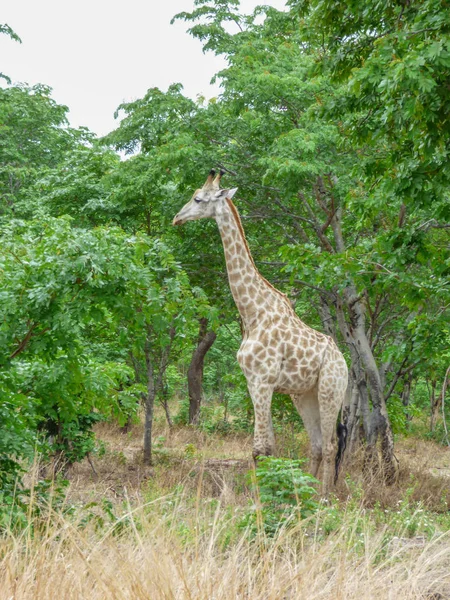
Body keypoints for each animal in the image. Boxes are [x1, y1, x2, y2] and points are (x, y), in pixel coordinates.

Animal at [172, 169, 348, 492]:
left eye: (198, 198)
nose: (177, 218)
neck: (253, 311)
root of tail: (344, 363)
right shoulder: (254, 382)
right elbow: (265, 447)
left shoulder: (261, 381)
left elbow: (261, 448)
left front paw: (260, 496)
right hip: (304, 395)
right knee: (317, 444)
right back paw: (308, 491)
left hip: (331, 390)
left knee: (331, 445)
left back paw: (324, 495)